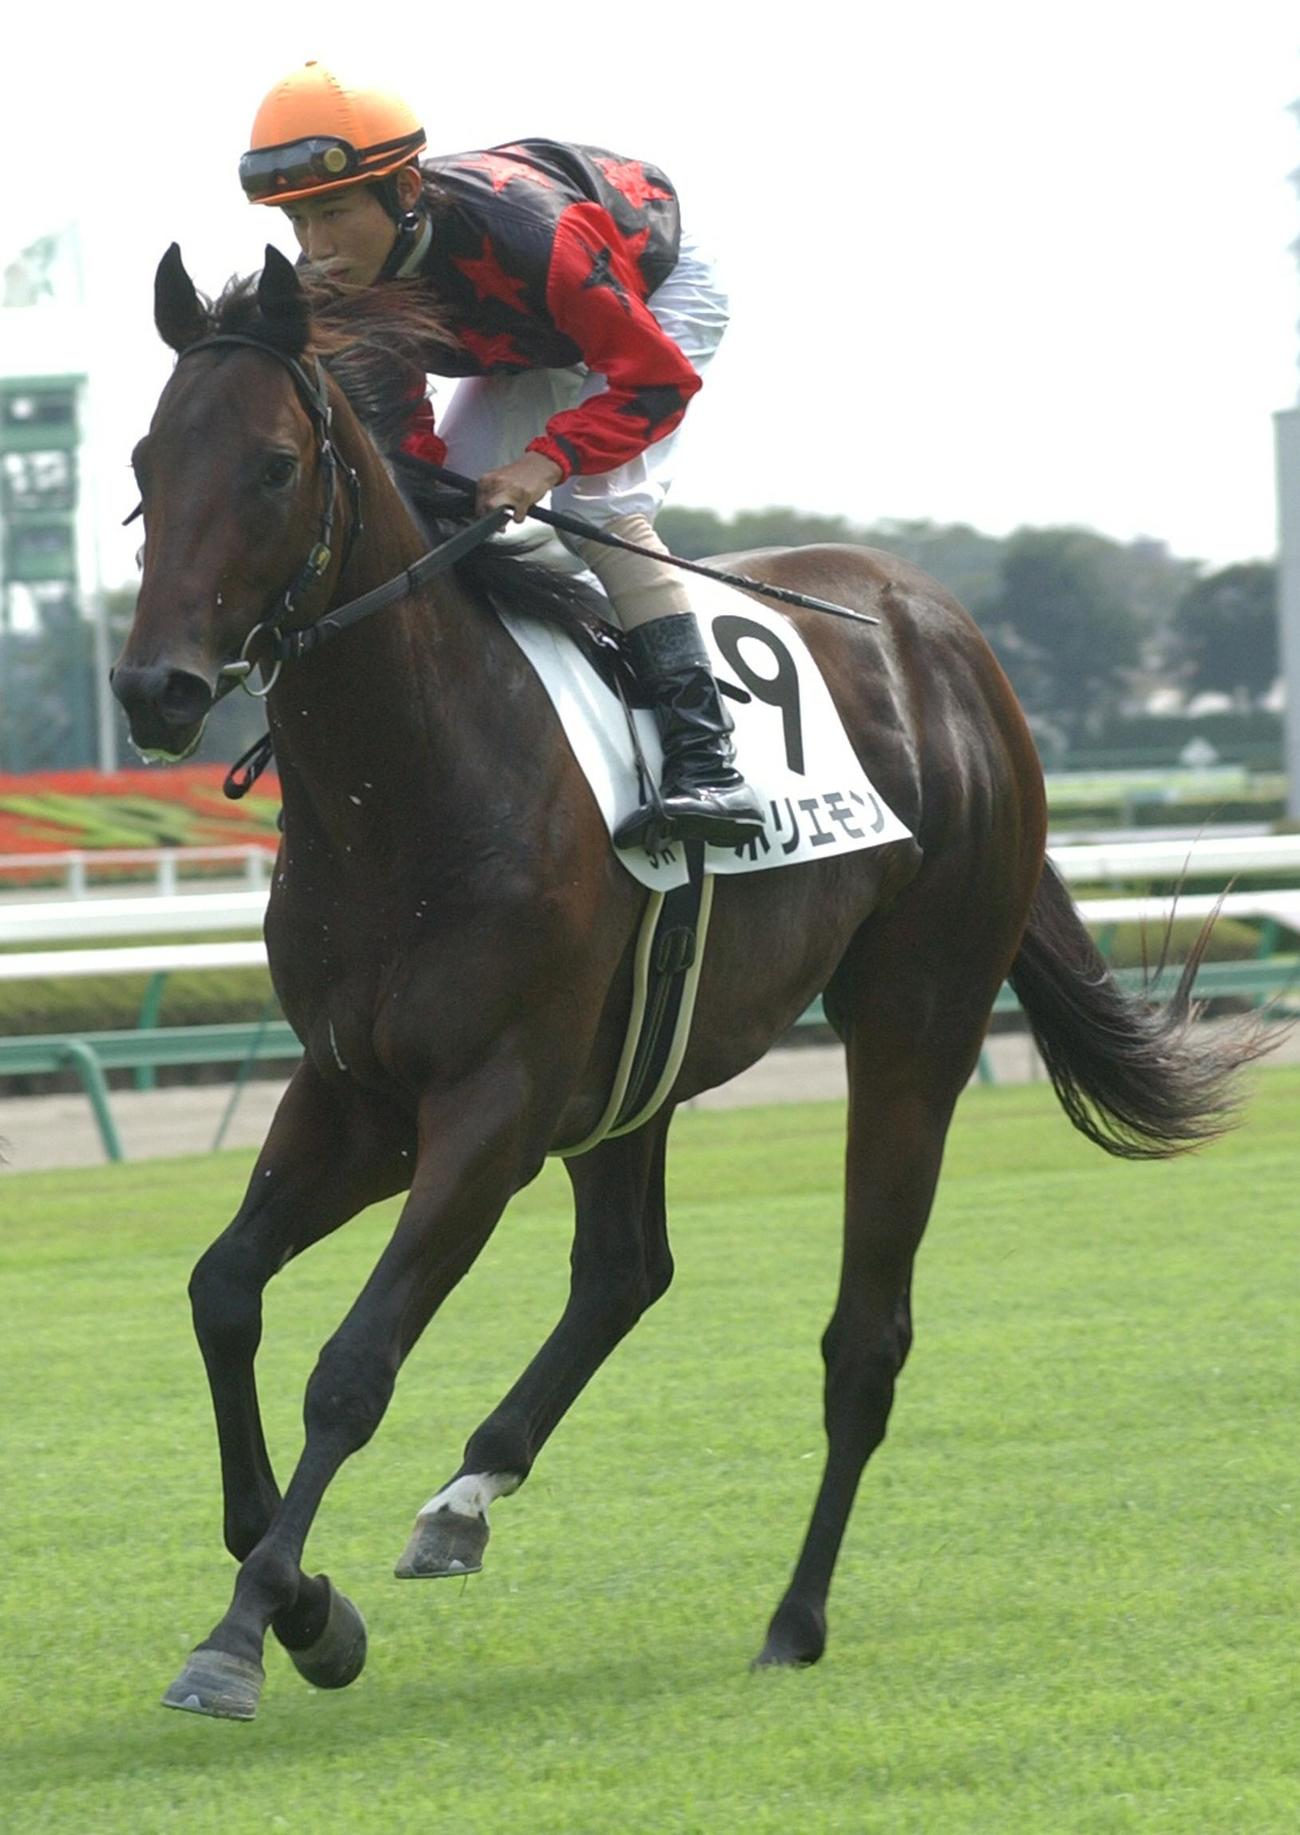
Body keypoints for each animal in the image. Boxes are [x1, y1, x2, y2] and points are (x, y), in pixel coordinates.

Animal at [111, 245, 1267, 1721]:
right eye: (145, 459)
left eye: (268, 465)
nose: (154, 687)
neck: (413, 783)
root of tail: (949, 634)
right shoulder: (356, 1090)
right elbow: (222, 1291)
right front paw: (307, 1591)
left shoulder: (487, 1106)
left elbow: (352, 1366)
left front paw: (258, 1623)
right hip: (636, 1063)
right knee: (625, 1267)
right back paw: (466, 1498)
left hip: (917, 1016)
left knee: (864, 1336)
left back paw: (794, 1614)